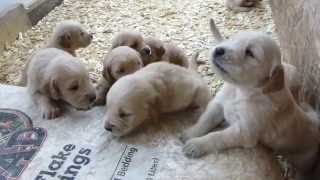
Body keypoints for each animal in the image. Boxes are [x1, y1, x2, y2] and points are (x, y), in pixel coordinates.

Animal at [180, 31, 320, 180]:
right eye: (234, 39)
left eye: (250, 53)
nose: (218, 50)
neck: (241, 90)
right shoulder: (218, 105)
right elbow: (206, 120)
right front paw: (190, 133)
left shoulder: (244, 132)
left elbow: (218, 136)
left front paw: (197, 145)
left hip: (304, 162)